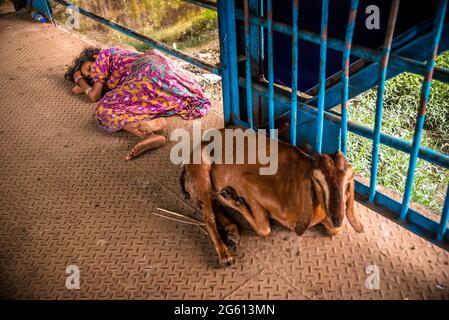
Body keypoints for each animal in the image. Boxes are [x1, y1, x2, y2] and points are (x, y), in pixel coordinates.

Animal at [180, 129, 362, 266]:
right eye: (317, 180)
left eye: (348, 181)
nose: (337, 217)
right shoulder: (249, 183)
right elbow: (264, 229)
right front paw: (234, 199)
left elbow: (336, 231)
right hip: (202, 168)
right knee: (208, 215)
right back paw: (225, 254)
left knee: (212, 204)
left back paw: (232, 230)